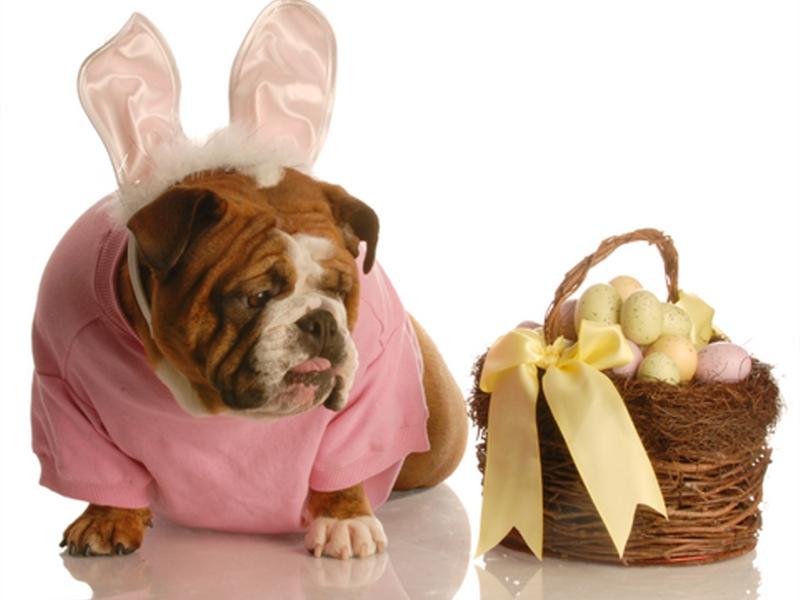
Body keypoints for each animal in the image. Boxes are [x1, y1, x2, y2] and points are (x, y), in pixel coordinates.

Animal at [31, 1, 467, 560]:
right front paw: (108, 518)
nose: (321, 321)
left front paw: (345, 518)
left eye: (340, 291)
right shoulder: (62, 394)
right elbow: (99, 466)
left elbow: (345, 460)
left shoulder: (374, 398)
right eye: (256, 296)